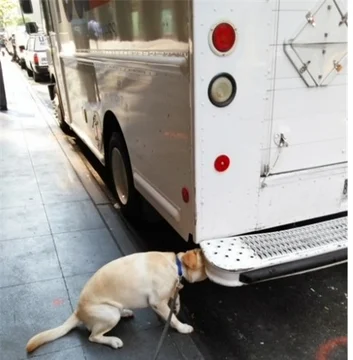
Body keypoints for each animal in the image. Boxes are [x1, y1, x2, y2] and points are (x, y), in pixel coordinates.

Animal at [26, 249, 206, 352]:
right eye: (205, 264)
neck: (176, 265)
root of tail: (77, 312)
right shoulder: (157, 302)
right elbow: (173, 319)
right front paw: (183, 327)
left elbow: (177, 296)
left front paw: (176, 305)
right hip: (110, 314)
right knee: (93, 336)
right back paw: (113, 341)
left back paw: (125, 312)